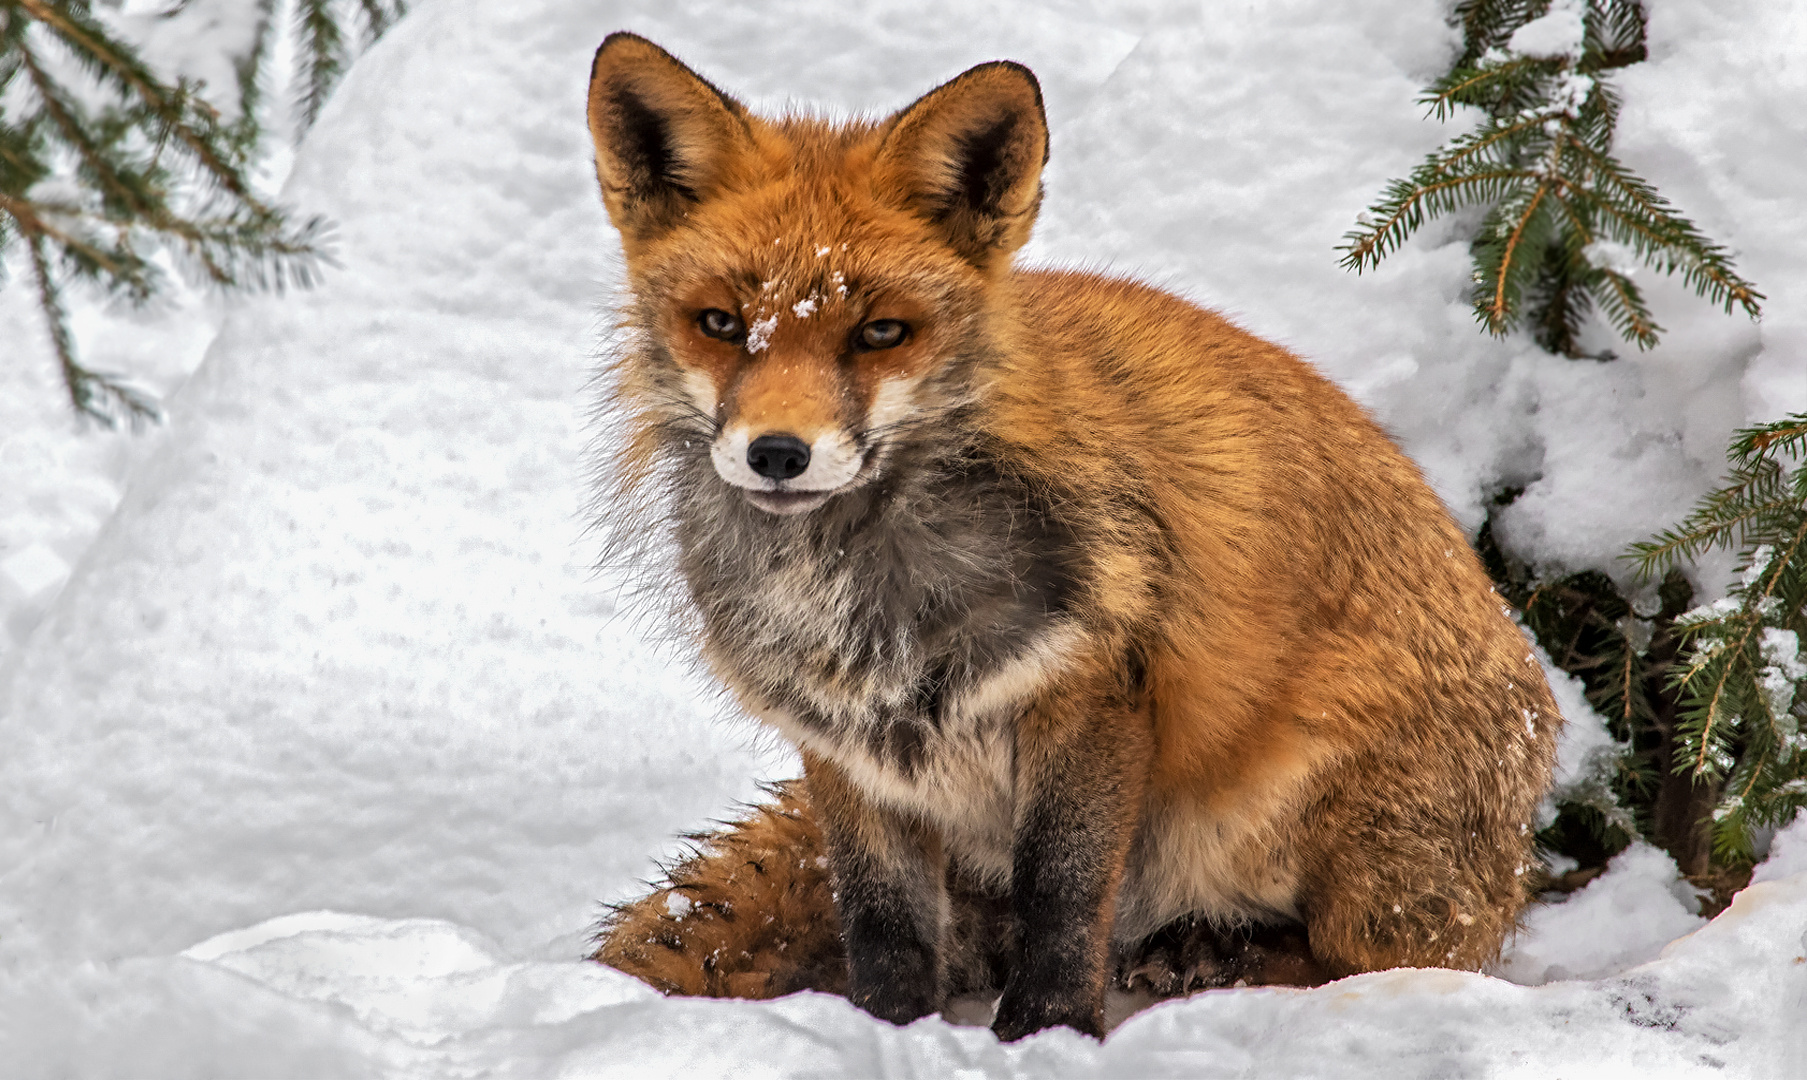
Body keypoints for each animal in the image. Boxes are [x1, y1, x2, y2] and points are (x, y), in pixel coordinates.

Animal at [585, 33, 1561, 1047]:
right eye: (721, 324)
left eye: (881, 332)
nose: (778, 453)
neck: (861, 596)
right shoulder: (843, 742)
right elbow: (882, 921)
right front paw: (885, 1030)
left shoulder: (1091, 685)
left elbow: (1059, 893)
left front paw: (1045, 1033)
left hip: (1325, 823)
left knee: (1382, 965)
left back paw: (1213, 960)